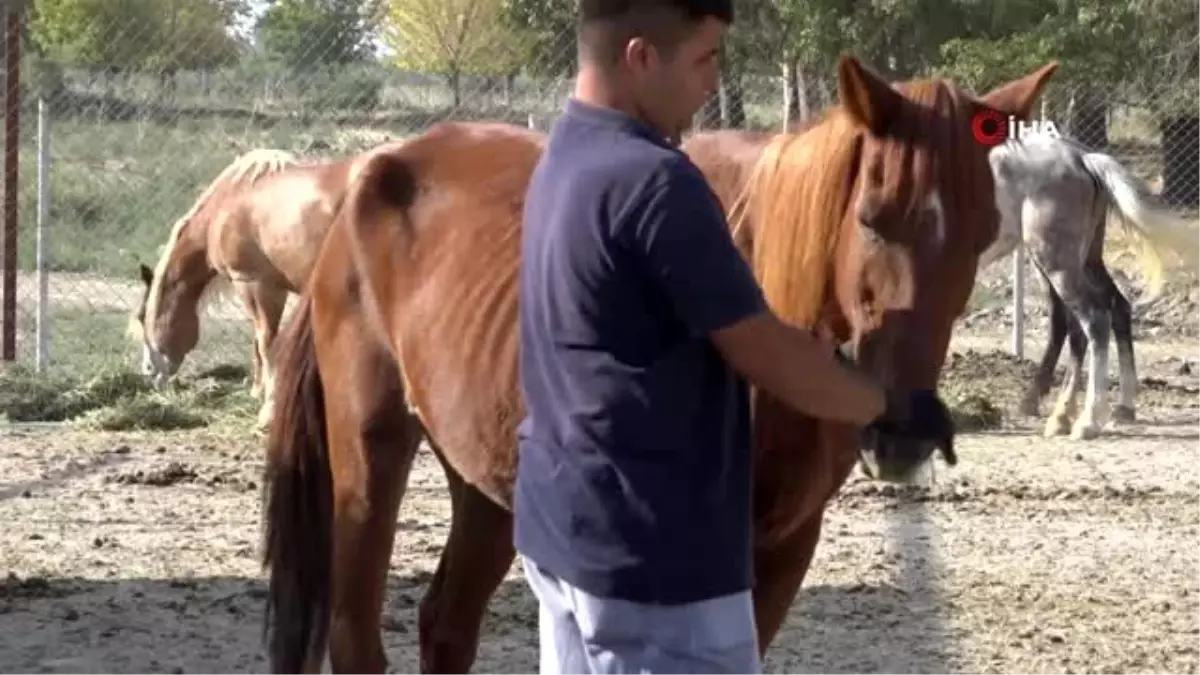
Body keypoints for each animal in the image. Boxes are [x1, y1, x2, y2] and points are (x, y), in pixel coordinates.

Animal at [132, 141, 412, 422]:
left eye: (144, 318)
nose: (149, 371)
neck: (226, 205)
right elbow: (259, 343)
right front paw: (258, 392)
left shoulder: (255, 284)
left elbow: (267, 344)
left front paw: (268, 409)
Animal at [258, 53, 1056, 672]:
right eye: (871, 217)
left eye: (986, 233)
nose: (905, 432)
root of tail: (370, 175)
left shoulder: (782, 550)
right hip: (371, 454)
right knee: (356, 635)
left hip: (485, 483)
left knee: (447, 626)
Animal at [979, 134, 1200, 439]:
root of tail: (1082, 158)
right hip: (1085, 261)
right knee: (1112, 309)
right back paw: (1116, 408)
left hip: (1056, 264)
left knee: (1091, 322)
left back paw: (1086, 420)